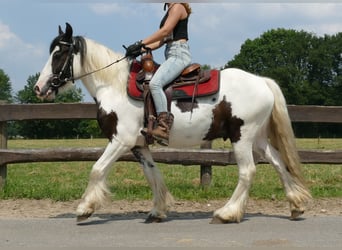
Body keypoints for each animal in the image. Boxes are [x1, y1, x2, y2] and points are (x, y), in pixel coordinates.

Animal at [34, 23, 310, 223]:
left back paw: (227, 213)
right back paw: (296, 205)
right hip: (258, 139)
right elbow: (153, 174)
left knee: (248, 171)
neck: (115, 86)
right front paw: (157, 211)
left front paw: (84, 209)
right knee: (278, 163)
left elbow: (97, 169)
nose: (39, 88)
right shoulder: (138, 144)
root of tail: (262, 81)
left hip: (242, 136)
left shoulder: (120, 140)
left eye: (59, 54)